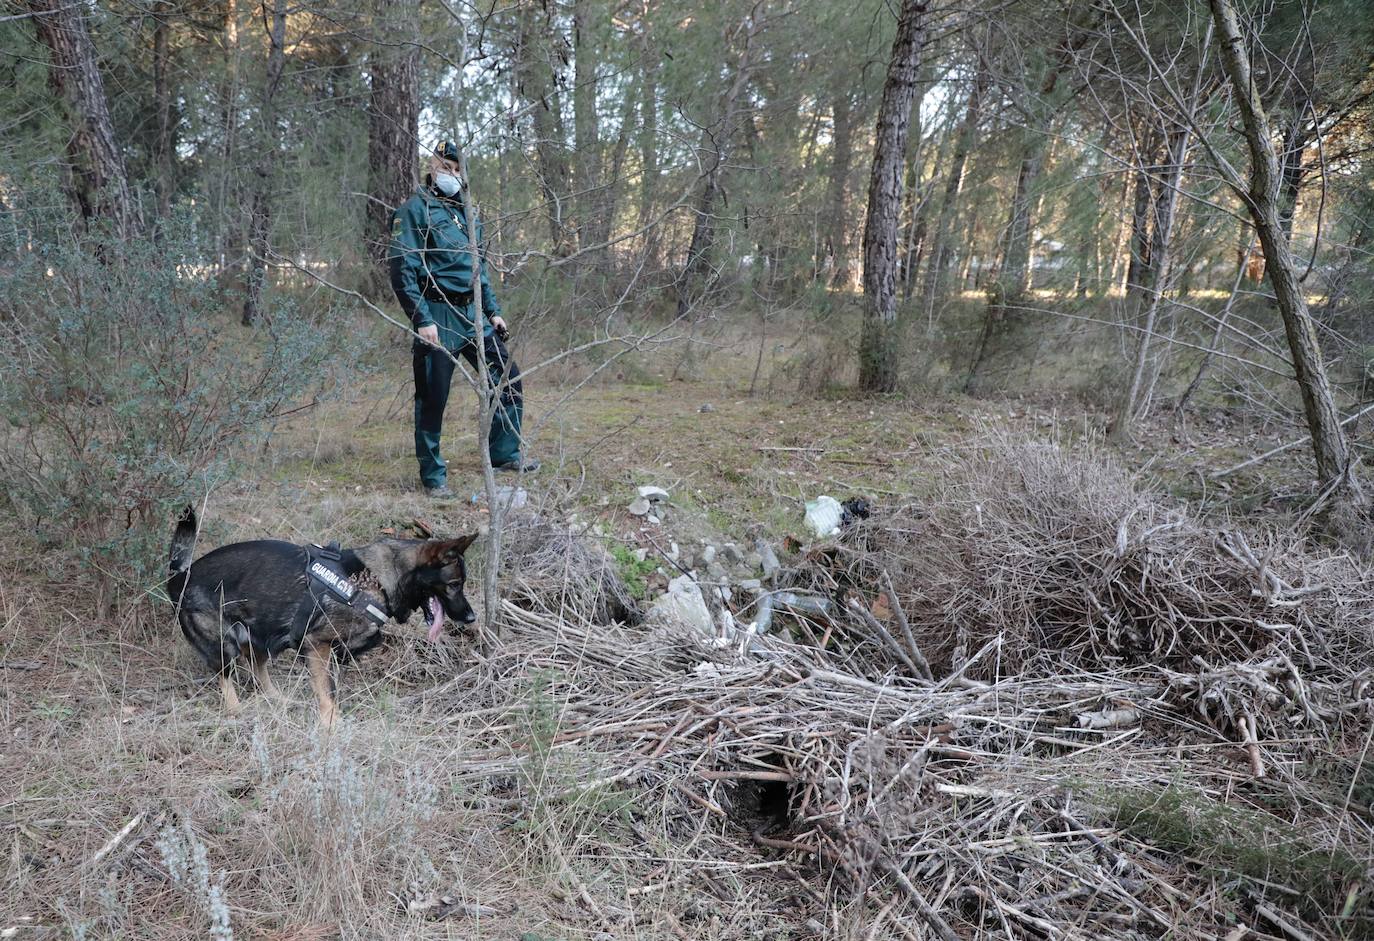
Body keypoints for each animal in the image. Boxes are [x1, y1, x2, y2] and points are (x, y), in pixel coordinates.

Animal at [167, 511, 478, 725]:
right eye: (454, 584)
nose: (471, 617)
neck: (377, 579)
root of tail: (180, 577)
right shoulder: (317, 644)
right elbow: (327, 692)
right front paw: (331, 726)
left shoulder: (338, 650)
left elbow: (335, 681)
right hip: (224, 647)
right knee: (226, 678)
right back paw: (237, 711)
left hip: (259, 638)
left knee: (257, 665)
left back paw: (277, 698)